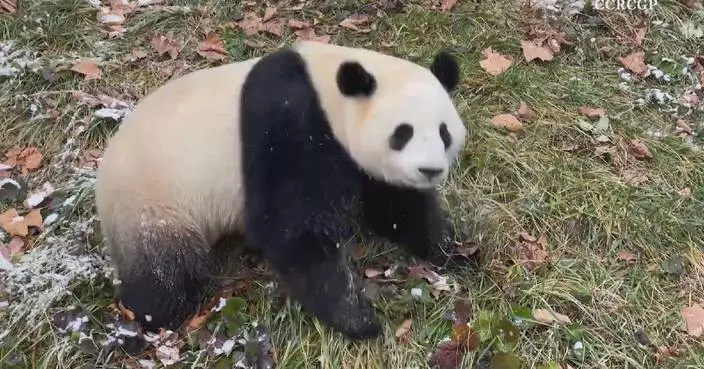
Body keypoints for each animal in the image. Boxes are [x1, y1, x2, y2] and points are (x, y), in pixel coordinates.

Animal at [93, 41, 468, 340]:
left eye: (444, 132)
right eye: (402, 133)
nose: (430, 170)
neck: (329, 91)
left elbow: (394, 205)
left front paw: (452, 252)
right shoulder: (290, 122)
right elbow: (290, 228)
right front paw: (358, 319)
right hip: (156, 201)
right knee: (166, 270)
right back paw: (153, 316)